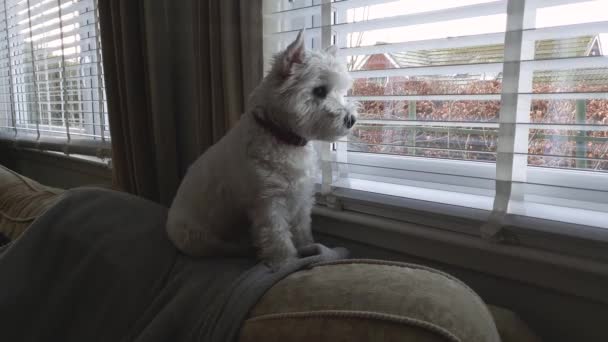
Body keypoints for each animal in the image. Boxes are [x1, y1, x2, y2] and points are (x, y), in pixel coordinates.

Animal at [166, 30, 356, 268]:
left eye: (341, 90)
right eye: (319, 91)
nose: (351, 120)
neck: (281, 135)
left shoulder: (301, 198)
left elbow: (302, 230)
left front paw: (308, 248)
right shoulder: (268, 203)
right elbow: (278, 237)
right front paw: (286, 262)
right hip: (198, 238)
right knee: (220, 248)